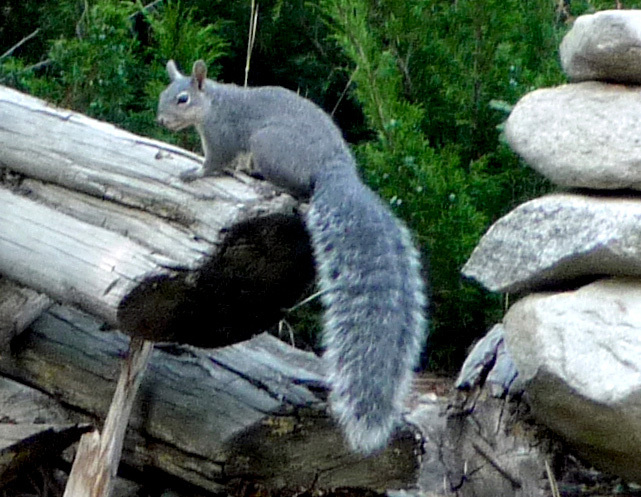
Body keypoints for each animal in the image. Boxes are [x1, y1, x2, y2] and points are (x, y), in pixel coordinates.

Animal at [157, 60, 427, 455]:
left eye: (182, 99)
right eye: (165, 95)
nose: (161, 120)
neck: (216, 104)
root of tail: (334, 168)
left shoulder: (223, 136)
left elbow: (214, 163)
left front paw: (193, 173)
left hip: (268, 144)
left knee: (298, 190)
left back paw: (267, 184)